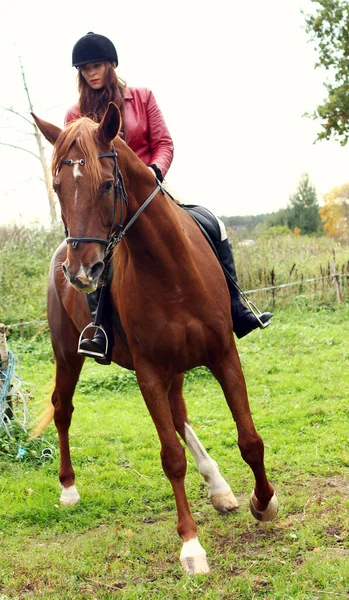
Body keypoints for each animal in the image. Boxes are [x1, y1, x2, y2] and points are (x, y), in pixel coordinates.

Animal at [32, 104, 278, 576]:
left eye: (107, 184)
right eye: (56, 186)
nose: (82, 273)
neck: (169, 269)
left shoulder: (224, 354)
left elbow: (250, 439)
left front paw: (265, 503)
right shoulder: (147, 373)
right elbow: (171, 458)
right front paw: (191, 547)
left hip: (177, 366)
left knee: (179, 412)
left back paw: (219, 487)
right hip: (68, 356)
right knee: (63, 409)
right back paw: (69, 489)